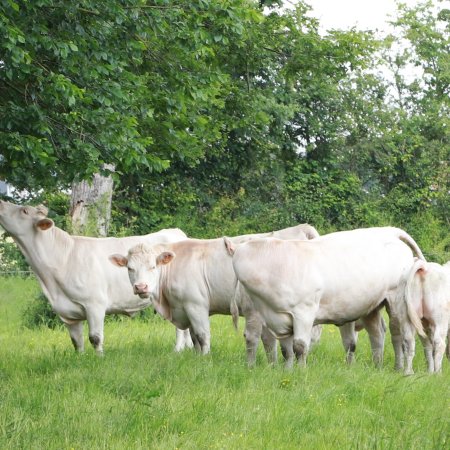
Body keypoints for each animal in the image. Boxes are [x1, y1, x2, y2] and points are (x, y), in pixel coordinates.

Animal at [0, 201, 190, 356]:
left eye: (24, 210)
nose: (1, 203)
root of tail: (177, 232)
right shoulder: (67, 313)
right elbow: (76, 341)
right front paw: (80, 359)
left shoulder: (95, 304)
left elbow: (95, 337)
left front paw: (100, 359)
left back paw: (177, 350)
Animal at [110, 224, 318, 366]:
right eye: (130, 268)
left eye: (153, 266)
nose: (141, 287)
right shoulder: (185, 308)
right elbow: (194, 337)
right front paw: (195, 357)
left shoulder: (196, 305)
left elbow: (202, 335)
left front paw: (205, 359)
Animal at [229, 227, 426, 374]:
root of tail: (390, 232)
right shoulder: (281, 319)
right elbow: (286, 350)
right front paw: (288, 372)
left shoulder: (304, 311)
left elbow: (300, 346)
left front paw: (301, 372)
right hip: (373, 306)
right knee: (378, 333)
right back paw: (378, 366)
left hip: (397, 300)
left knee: (403, 335)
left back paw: (405, 370)